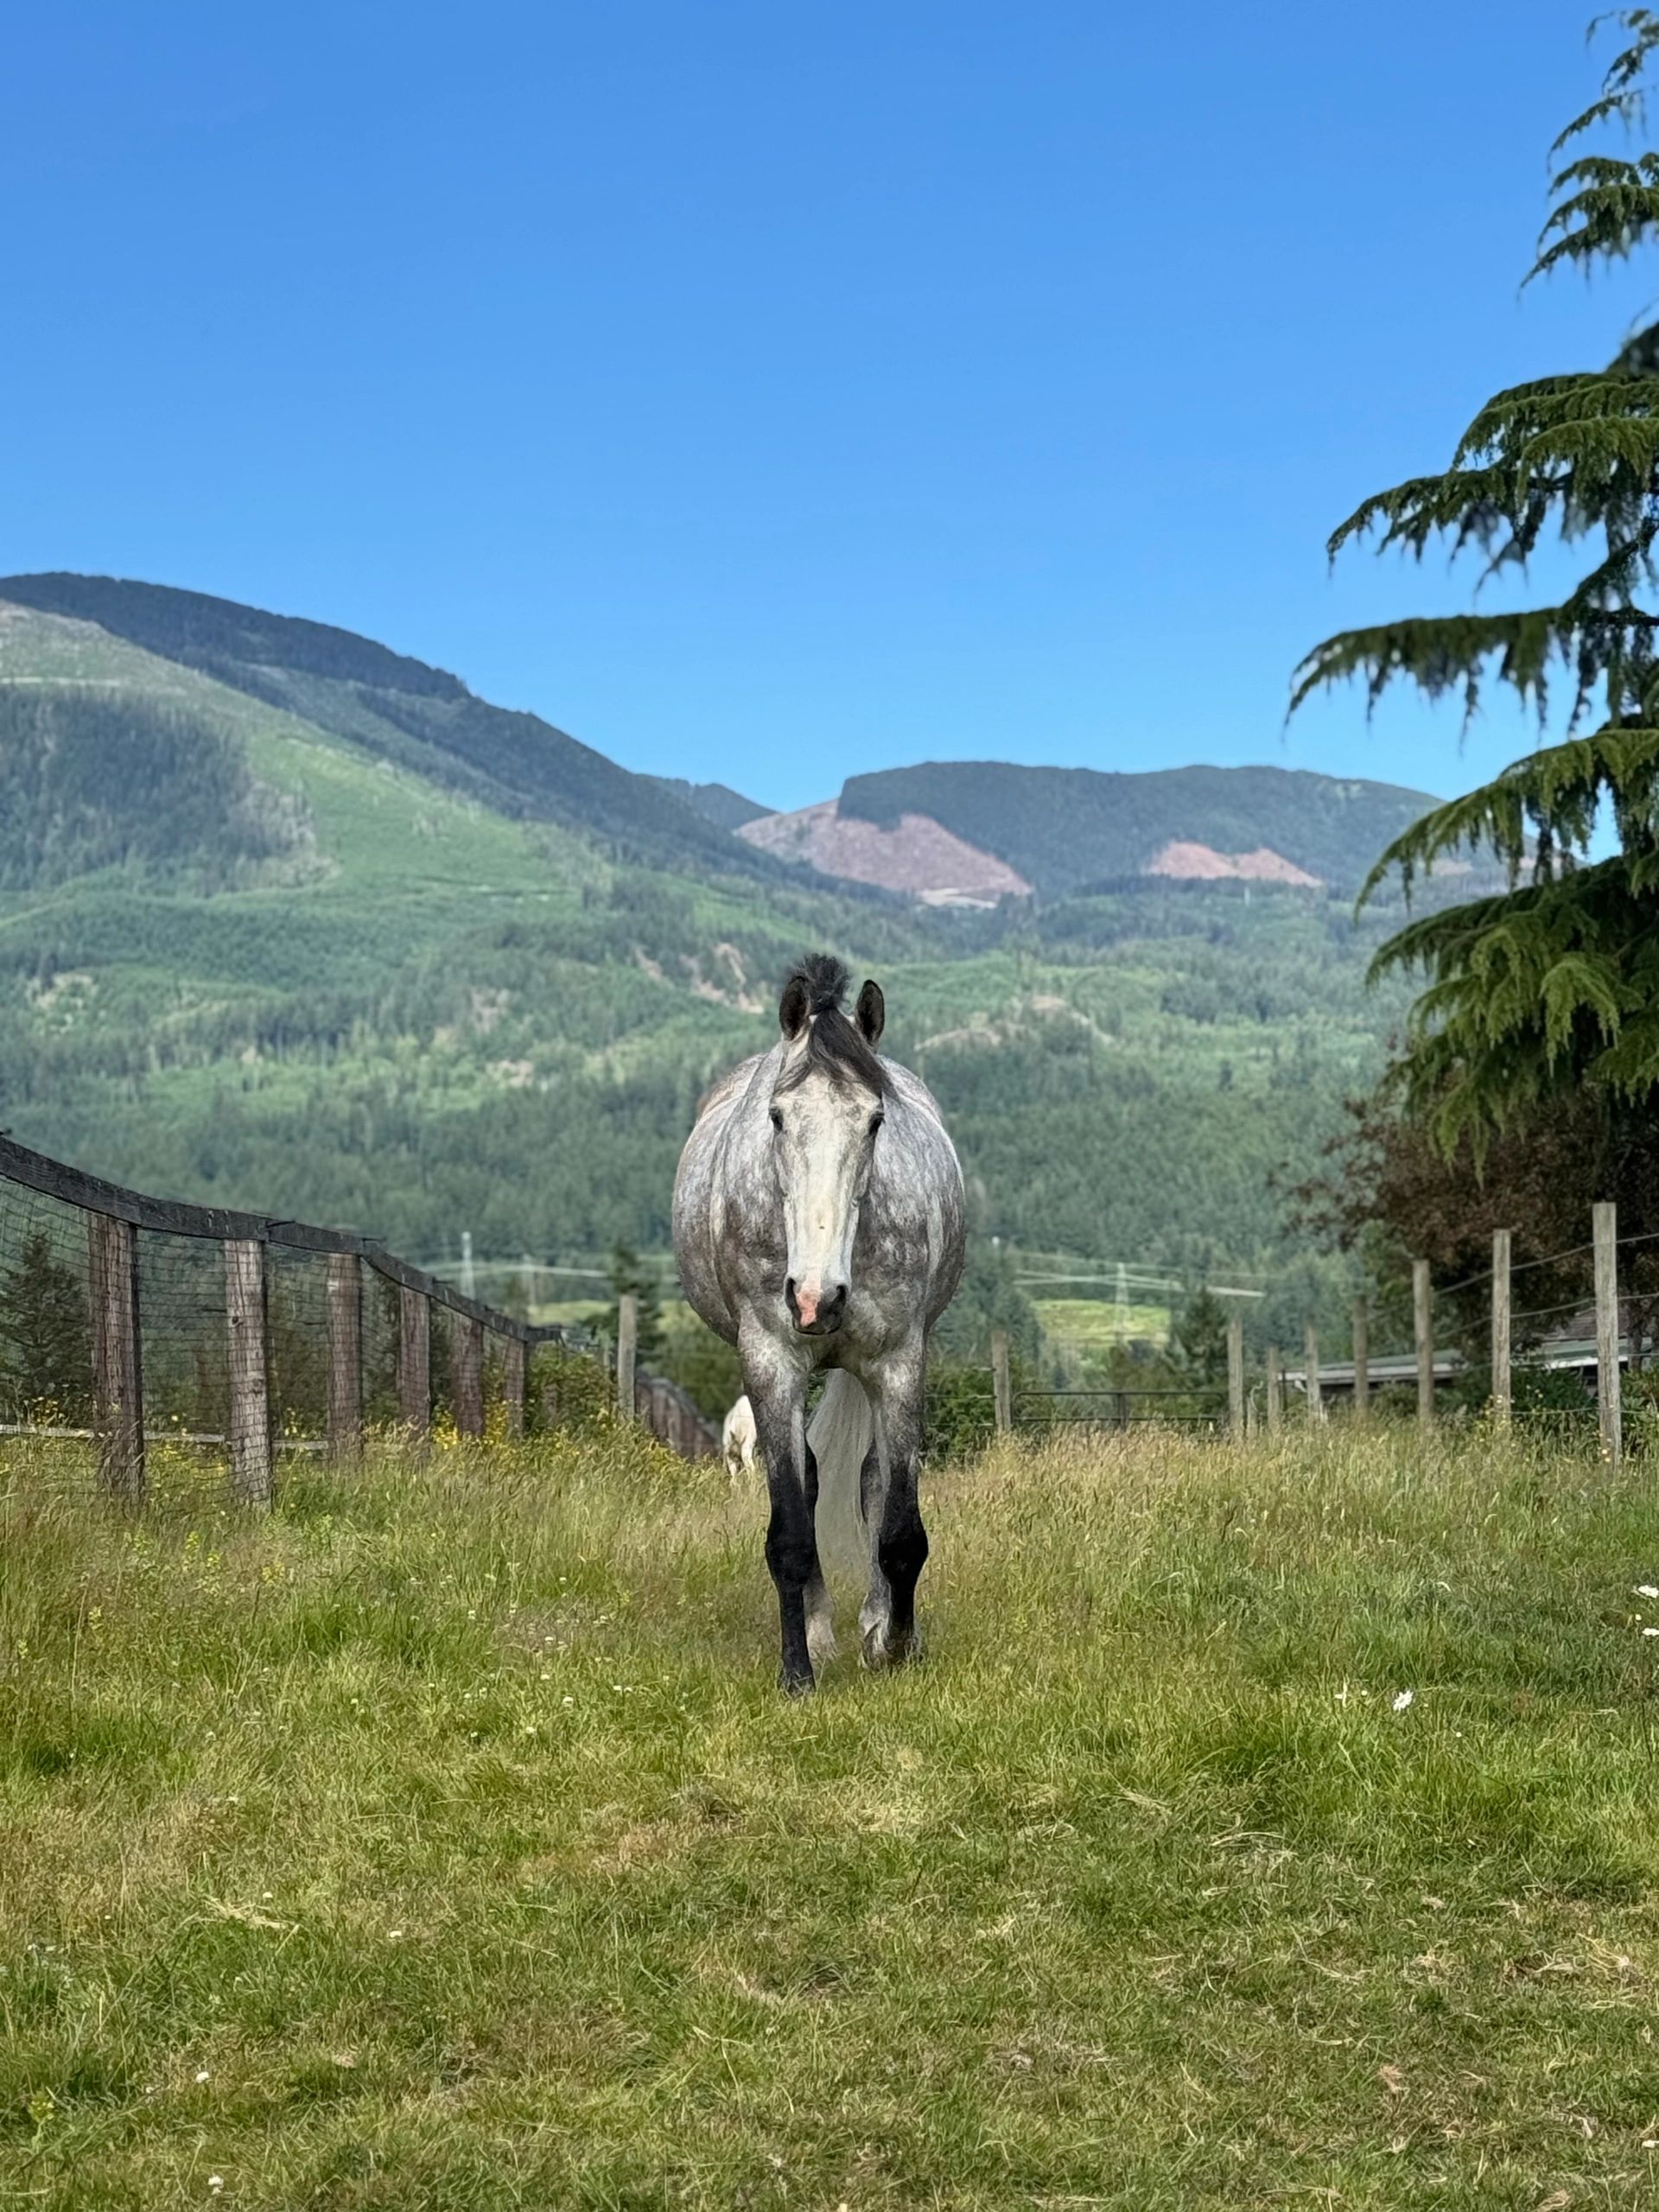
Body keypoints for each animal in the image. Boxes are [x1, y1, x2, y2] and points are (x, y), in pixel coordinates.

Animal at [672, 953, 966, 1693]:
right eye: (777, 1117)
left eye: (875, 1120)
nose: (815, 1300)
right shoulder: (770, 1362)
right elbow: (788, 1531)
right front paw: (798, 1672)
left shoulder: (899, 1362)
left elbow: (900, 1529)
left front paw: (896, 1644)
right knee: (806, 1481)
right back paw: (820, 1628)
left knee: (871, 1478)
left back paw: (874, 1622)